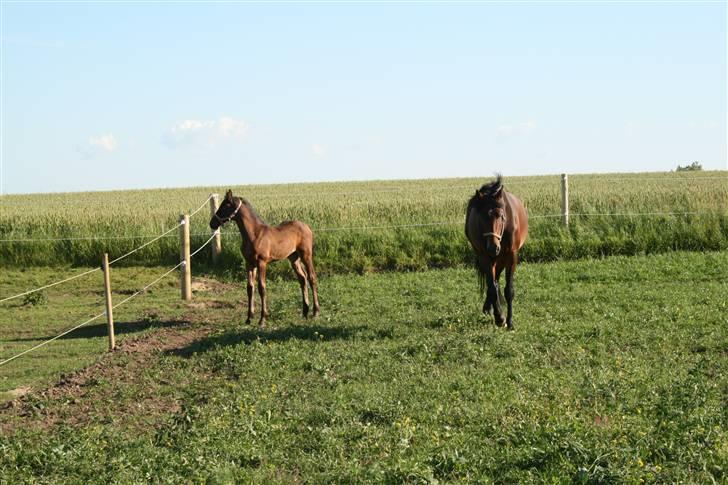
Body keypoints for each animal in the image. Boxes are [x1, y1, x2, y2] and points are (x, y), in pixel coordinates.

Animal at [209, 190, 320, 326]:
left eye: (225, 206)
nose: (212, 223)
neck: (254, 234)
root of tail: (307, 227)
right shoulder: (249, 263)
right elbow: (250, 288)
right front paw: (249, 318)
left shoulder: (262, 262)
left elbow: (262, 287)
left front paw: (262, 319)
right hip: (293, 258)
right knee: (302, 279)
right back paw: (305, 312)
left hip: (306, 255)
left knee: (311, 278)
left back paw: (315, 312)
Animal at [466, 176, 528, 330]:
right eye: (481, 216)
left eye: (501, 216)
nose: (493, 248)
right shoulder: (485, 257)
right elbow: (492, 288)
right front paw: (500, 318)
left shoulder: (511, 256)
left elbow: (509, 290)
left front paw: (510, 322)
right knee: (493, 283)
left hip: (501, 259)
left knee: (497, 279)